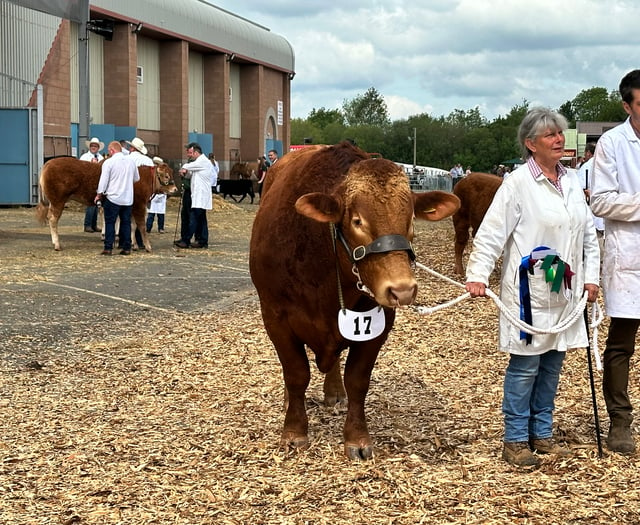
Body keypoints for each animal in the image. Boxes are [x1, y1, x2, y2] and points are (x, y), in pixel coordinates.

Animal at [37, 156, 178, 252]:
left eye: (171, 174)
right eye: (166, 176)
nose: (175, 189)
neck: (141, 179)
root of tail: (48, 163)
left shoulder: (131, 207)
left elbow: (132, 226)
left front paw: (134, 245)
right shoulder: (139, 205)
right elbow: (141, 226)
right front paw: (148, 246)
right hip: (58, 200)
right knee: (53, 219)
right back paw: (57, 244)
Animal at [249, 140, 460, 458]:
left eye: (410, 220)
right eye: (358, 221)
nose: (402, 289)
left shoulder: (378, 324)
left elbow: (358, 380)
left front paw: (357, 438)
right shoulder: (275, 316)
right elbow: (296, 373)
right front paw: (294, 433)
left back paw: (335, 392)